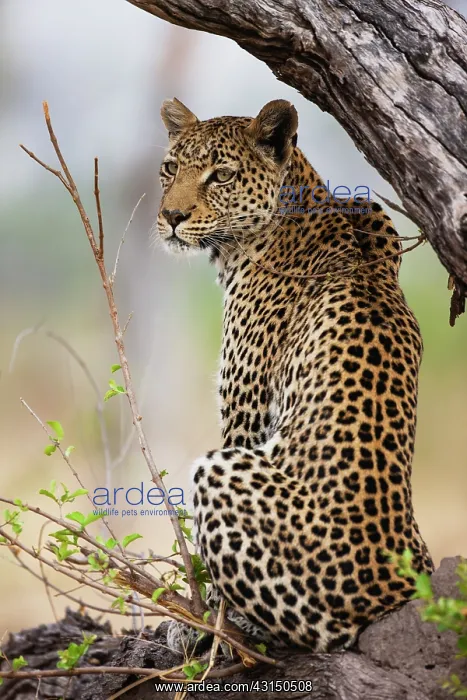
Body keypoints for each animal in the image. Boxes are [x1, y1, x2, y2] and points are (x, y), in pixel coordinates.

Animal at [156, 97, 433, 653]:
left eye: (221, 175)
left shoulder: (244, 417)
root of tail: (393, 590)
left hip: (219, 470)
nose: (171, 216)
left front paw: (201, 623)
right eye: (171, 168)